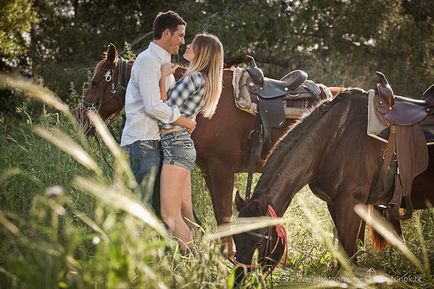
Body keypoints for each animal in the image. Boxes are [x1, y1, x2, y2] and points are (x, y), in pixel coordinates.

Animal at [75, 42, 340, 254]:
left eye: (95, 82)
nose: (80, 118)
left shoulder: (222, 169)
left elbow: (223, 216)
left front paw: (228, 257)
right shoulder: (208, 171)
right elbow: (215, 216)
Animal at [234, 86, 434, 280]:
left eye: (260, 240)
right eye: (235, 239)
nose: (238, 280)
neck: (333, 138)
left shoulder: (351, 204)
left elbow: (349, 256)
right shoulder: (335, 204)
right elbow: (346, 256)